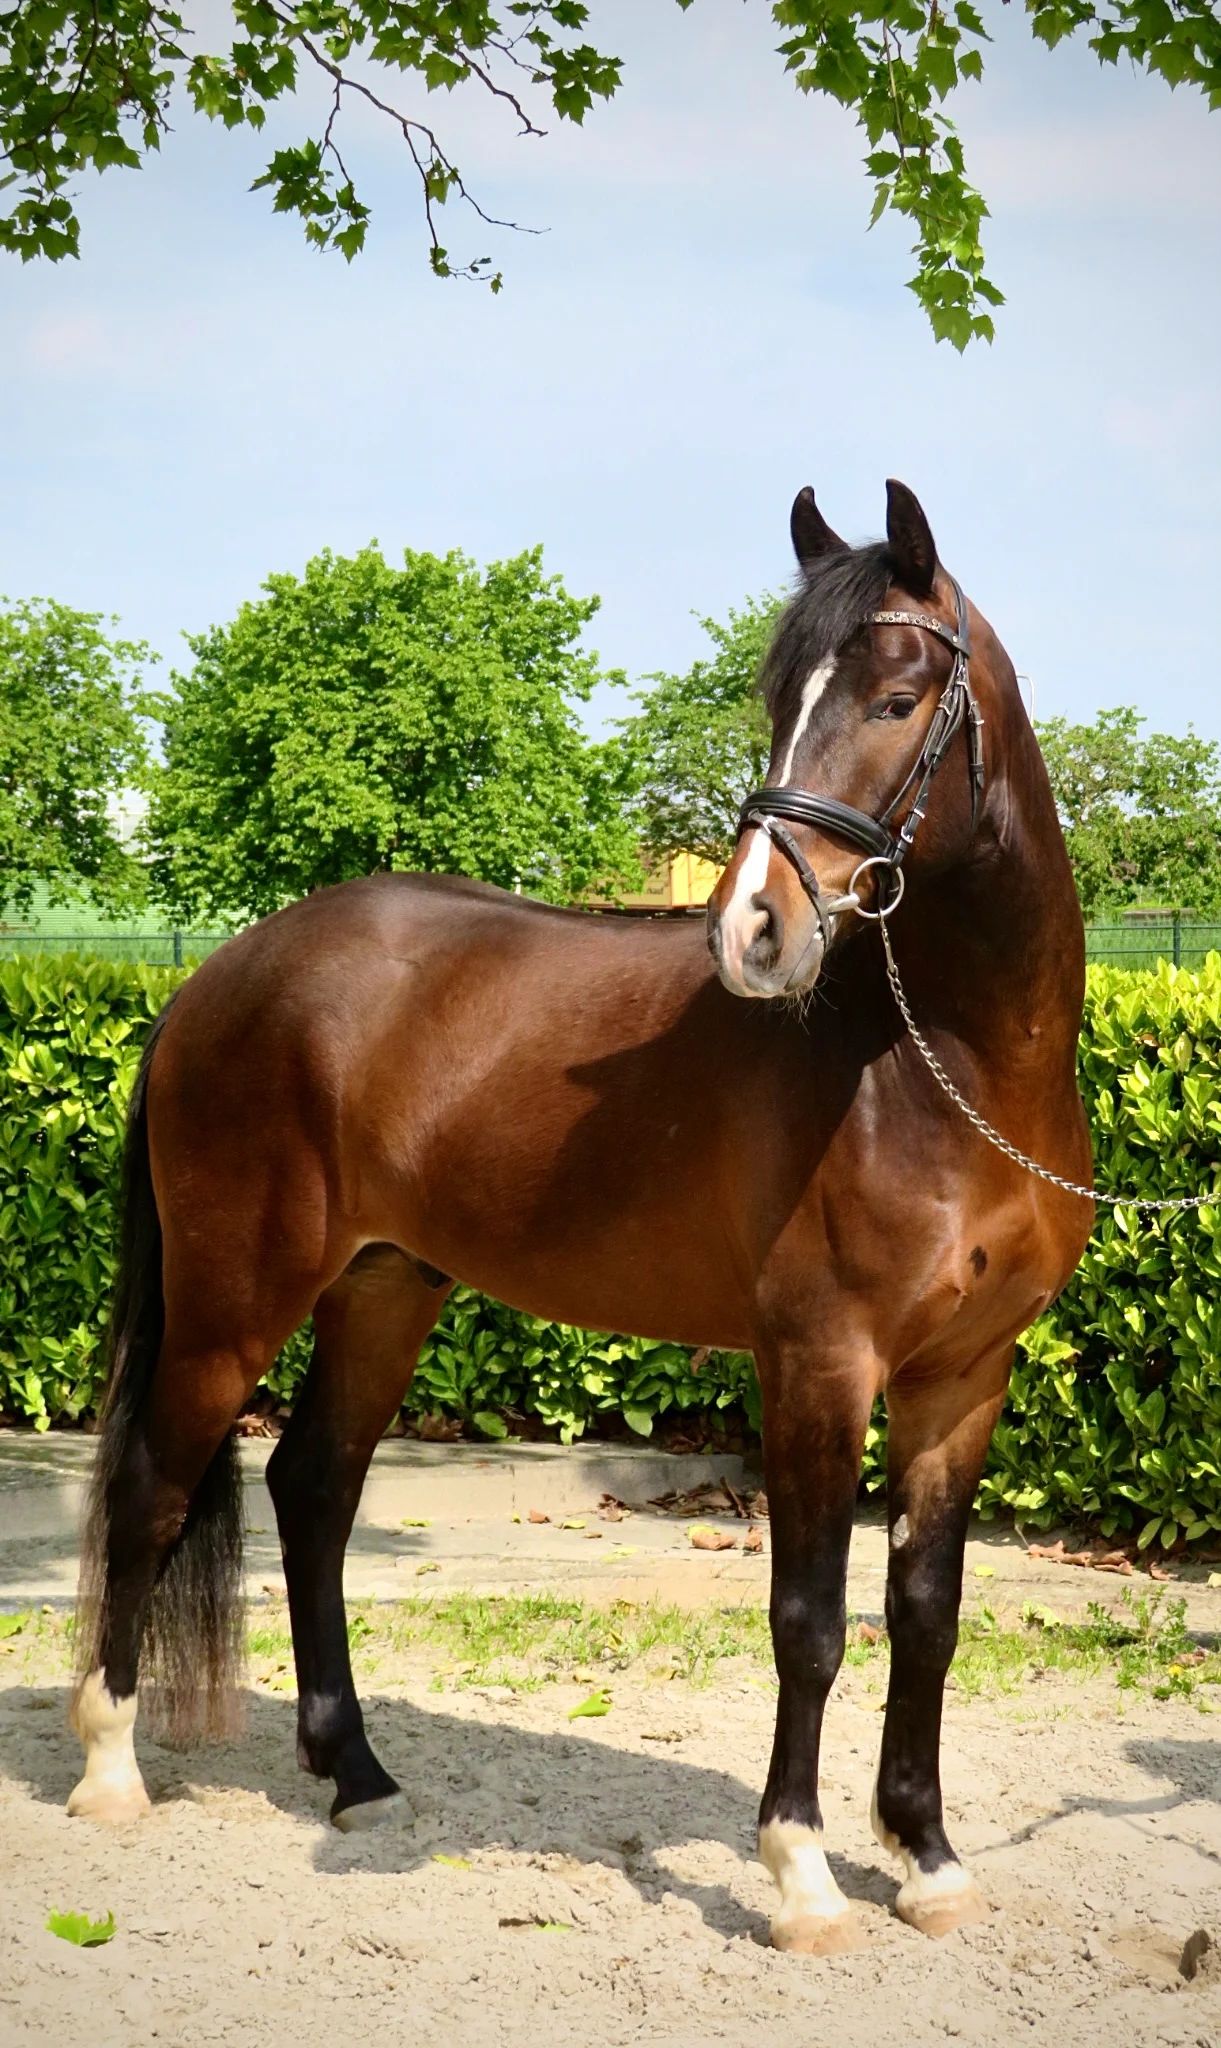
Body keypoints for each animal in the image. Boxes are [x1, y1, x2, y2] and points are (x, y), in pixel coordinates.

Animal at [69, 479, 1092, 1954]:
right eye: (777, 696)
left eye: (897, 699)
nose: (754, 931)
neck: (939, 1066)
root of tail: (221, 974)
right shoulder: (819, 1364)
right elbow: (809, 1618)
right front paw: (801, 1874)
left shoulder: (966, 1375)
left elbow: (927, 1611)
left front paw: (929, 1857)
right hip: (231, 1301)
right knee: (153, 1488)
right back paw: (108, 1769)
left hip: (385, 1285)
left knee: (310, 1488)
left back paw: (359, 1773)